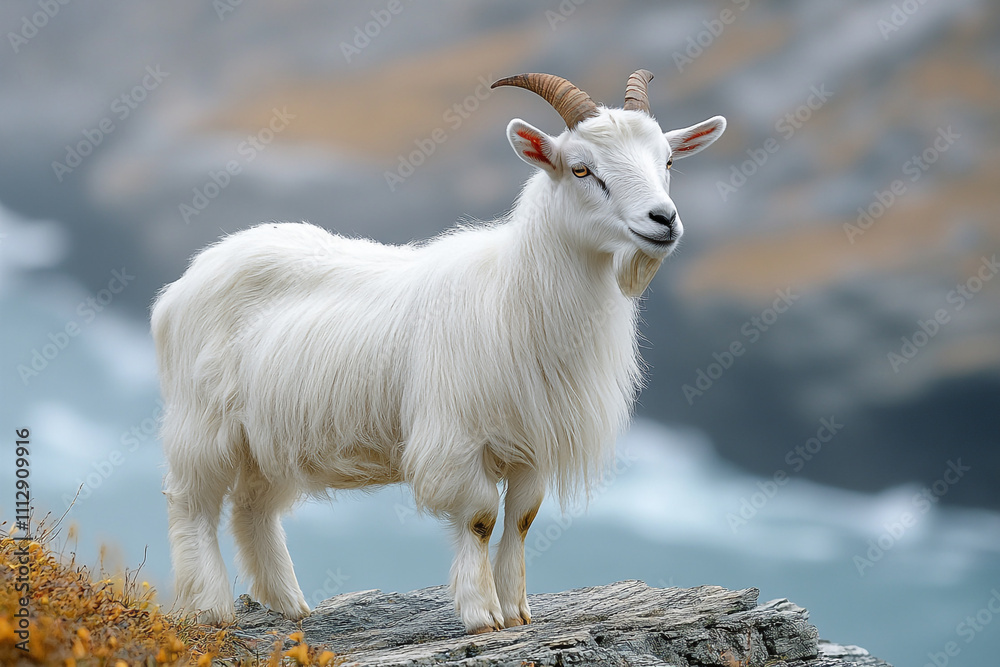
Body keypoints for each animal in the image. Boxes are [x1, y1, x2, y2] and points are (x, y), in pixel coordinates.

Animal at [152, 70, 725, 633]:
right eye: (582, 169)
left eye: (668, 161)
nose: (663, 219)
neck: (514, 290)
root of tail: (184, 283)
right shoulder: (455, 440)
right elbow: (480, 518)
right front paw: (481, 614)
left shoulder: (531, 442)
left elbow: (522, 519)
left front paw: (517, 611)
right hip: (203, 423)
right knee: (191, 503)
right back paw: (211, 607)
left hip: (268, 438)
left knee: (252, 508)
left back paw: (289, 605)